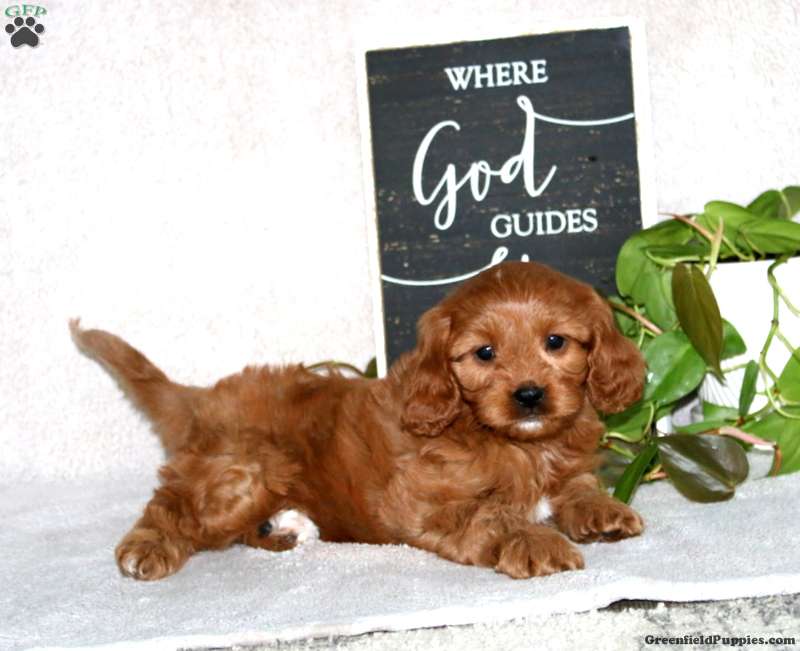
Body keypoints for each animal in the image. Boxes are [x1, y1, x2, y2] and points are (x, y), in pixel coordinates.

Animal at [71, 261, 645, 581]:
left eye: (556, 342)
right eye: (484, 354)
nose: (529, 395)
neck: (523, 444)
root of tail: (202, 398)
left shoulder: (569, 467)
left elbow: (579, 487)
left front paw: (604, 512)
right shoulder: (422, 503)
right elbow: (493, 516)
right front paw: (537, 542)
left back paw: (283, 528)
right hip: (243, 468)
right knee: (171, 504)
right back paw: (145, 549)